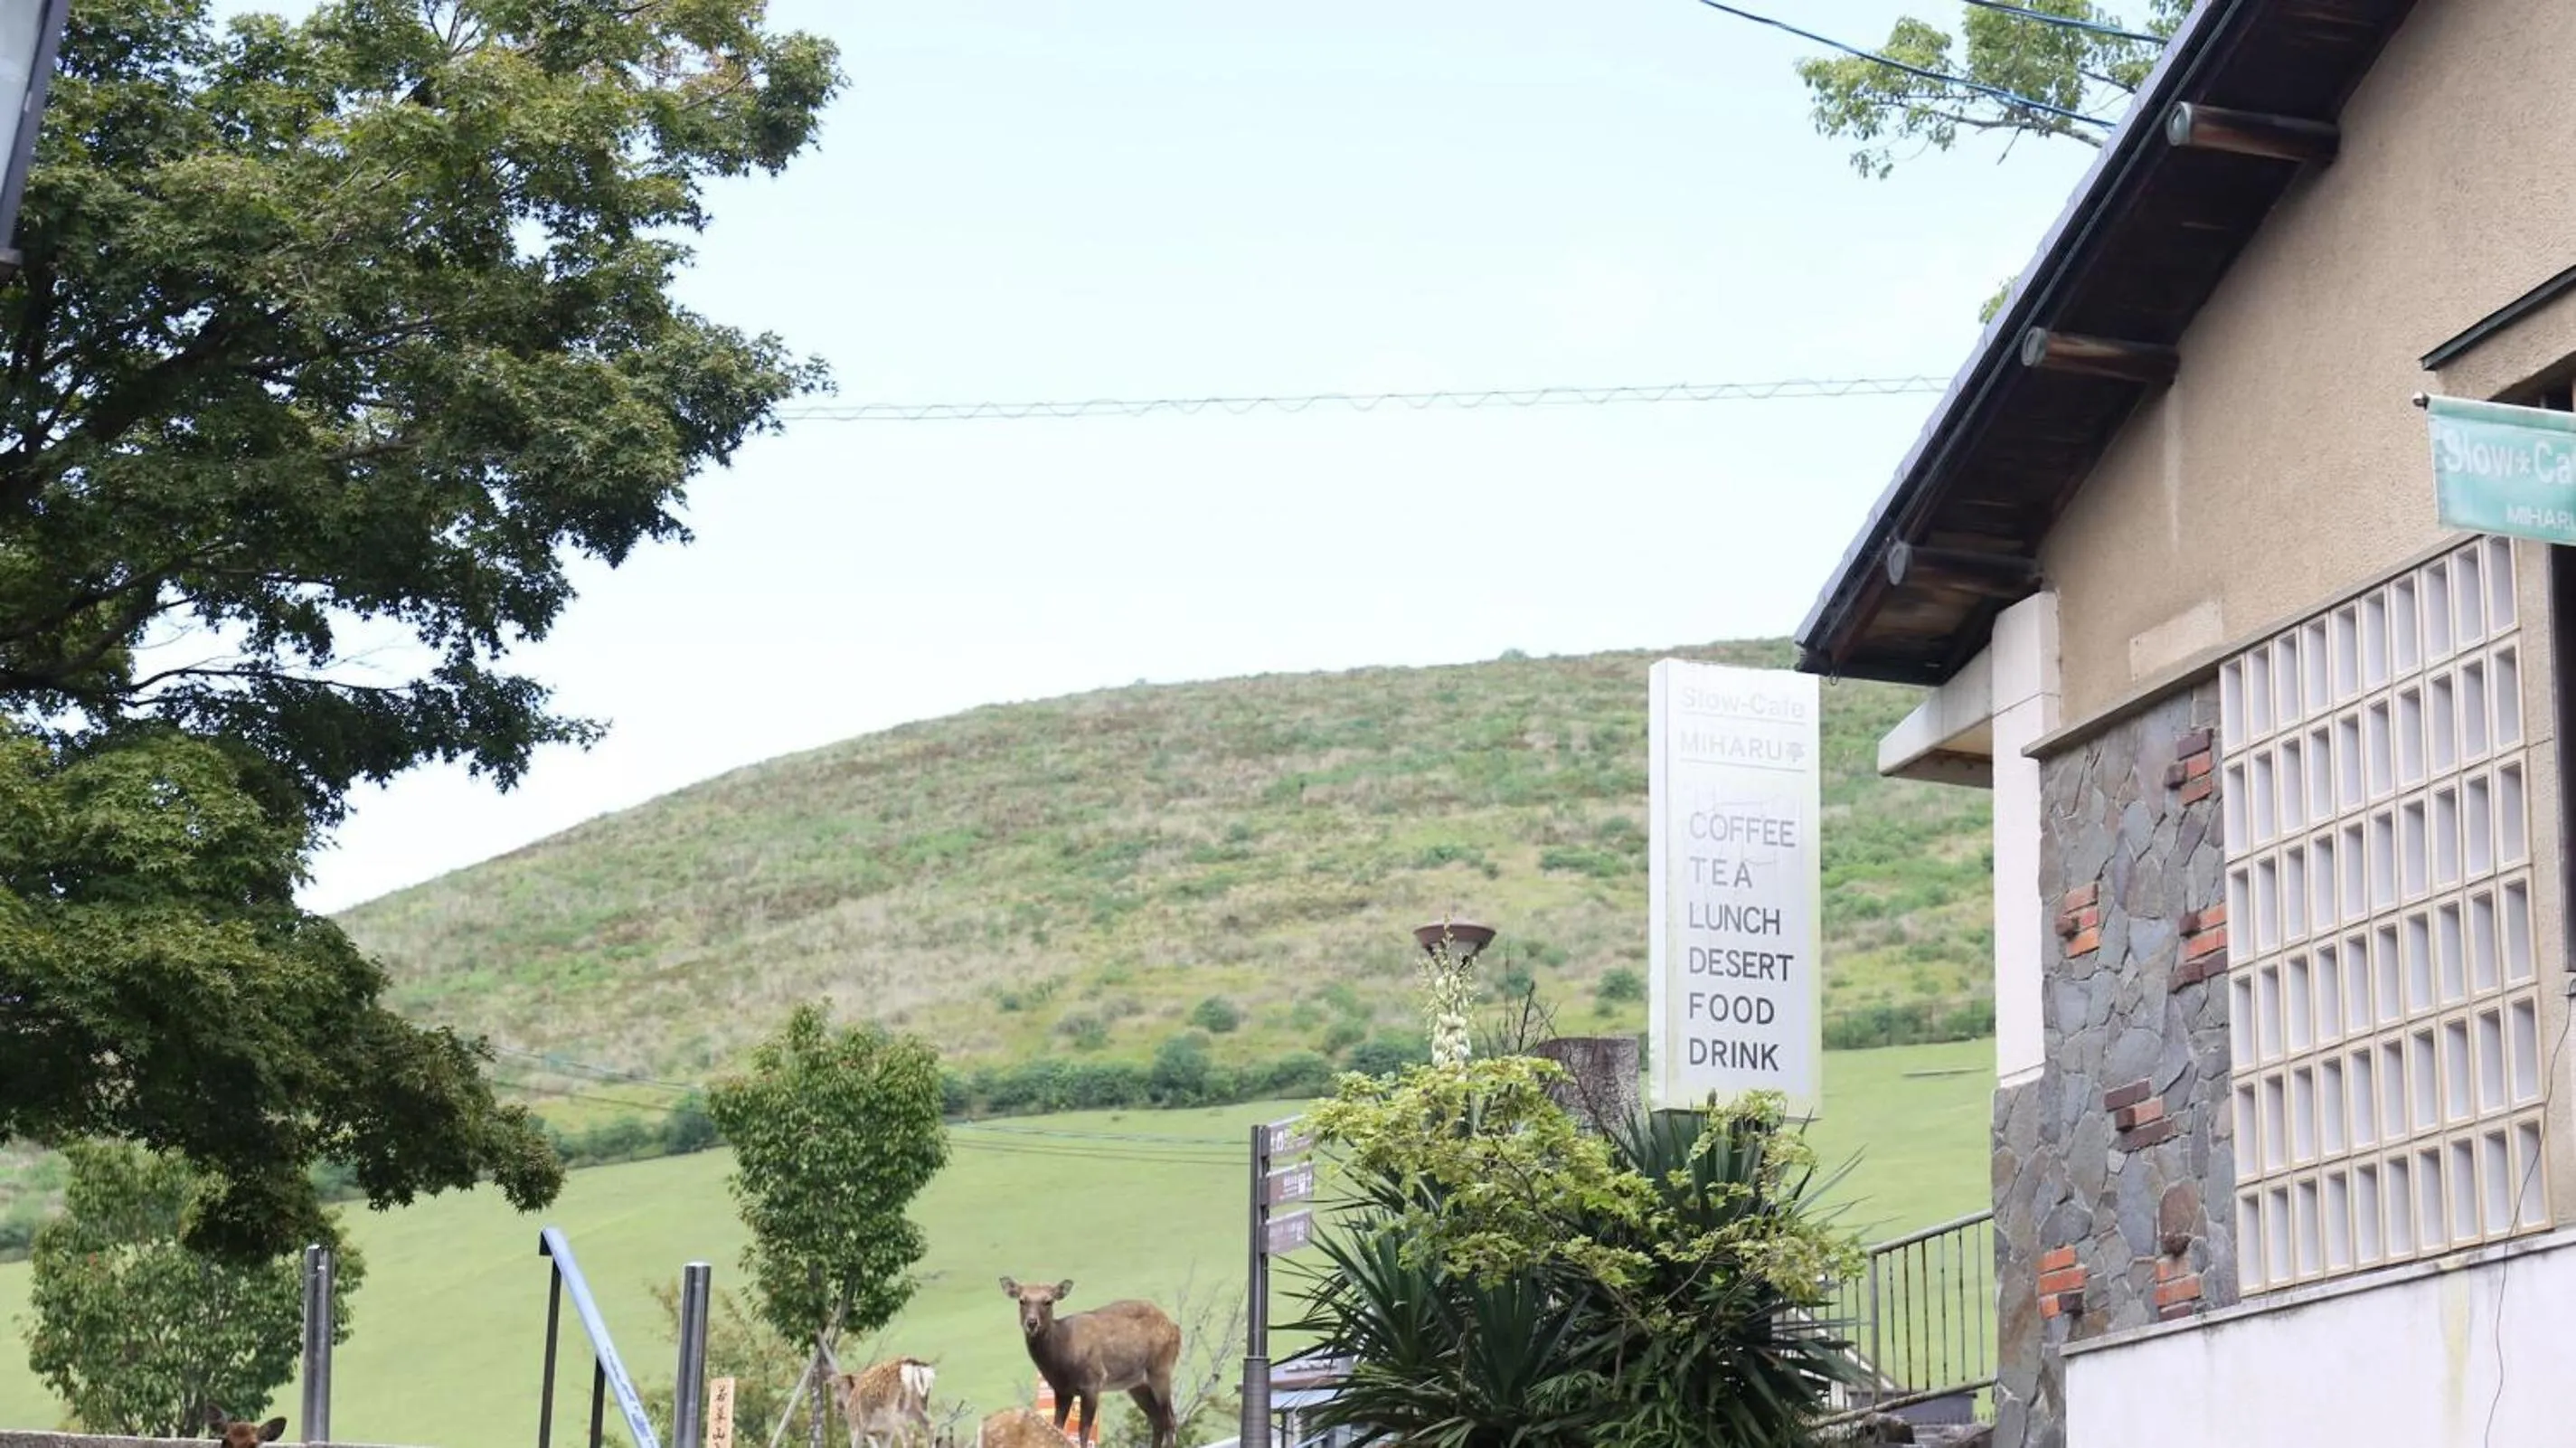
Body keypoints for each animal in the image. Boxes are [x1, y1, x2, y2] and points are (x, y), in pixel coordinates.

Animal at [999, 1277, 1181, 1448]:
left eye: (1048, 1301)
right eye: (1022, 1300)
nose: (1031, 1322)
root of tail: (1174, 1327)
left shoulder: (1092, 1382)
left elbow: (1083, 1430)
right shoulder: (1061, 1389)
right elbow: (1057, 1427)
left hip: (1161, 1368)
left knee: (1169, 1419)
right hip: (1137, 1384)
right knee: (1157, 1419)